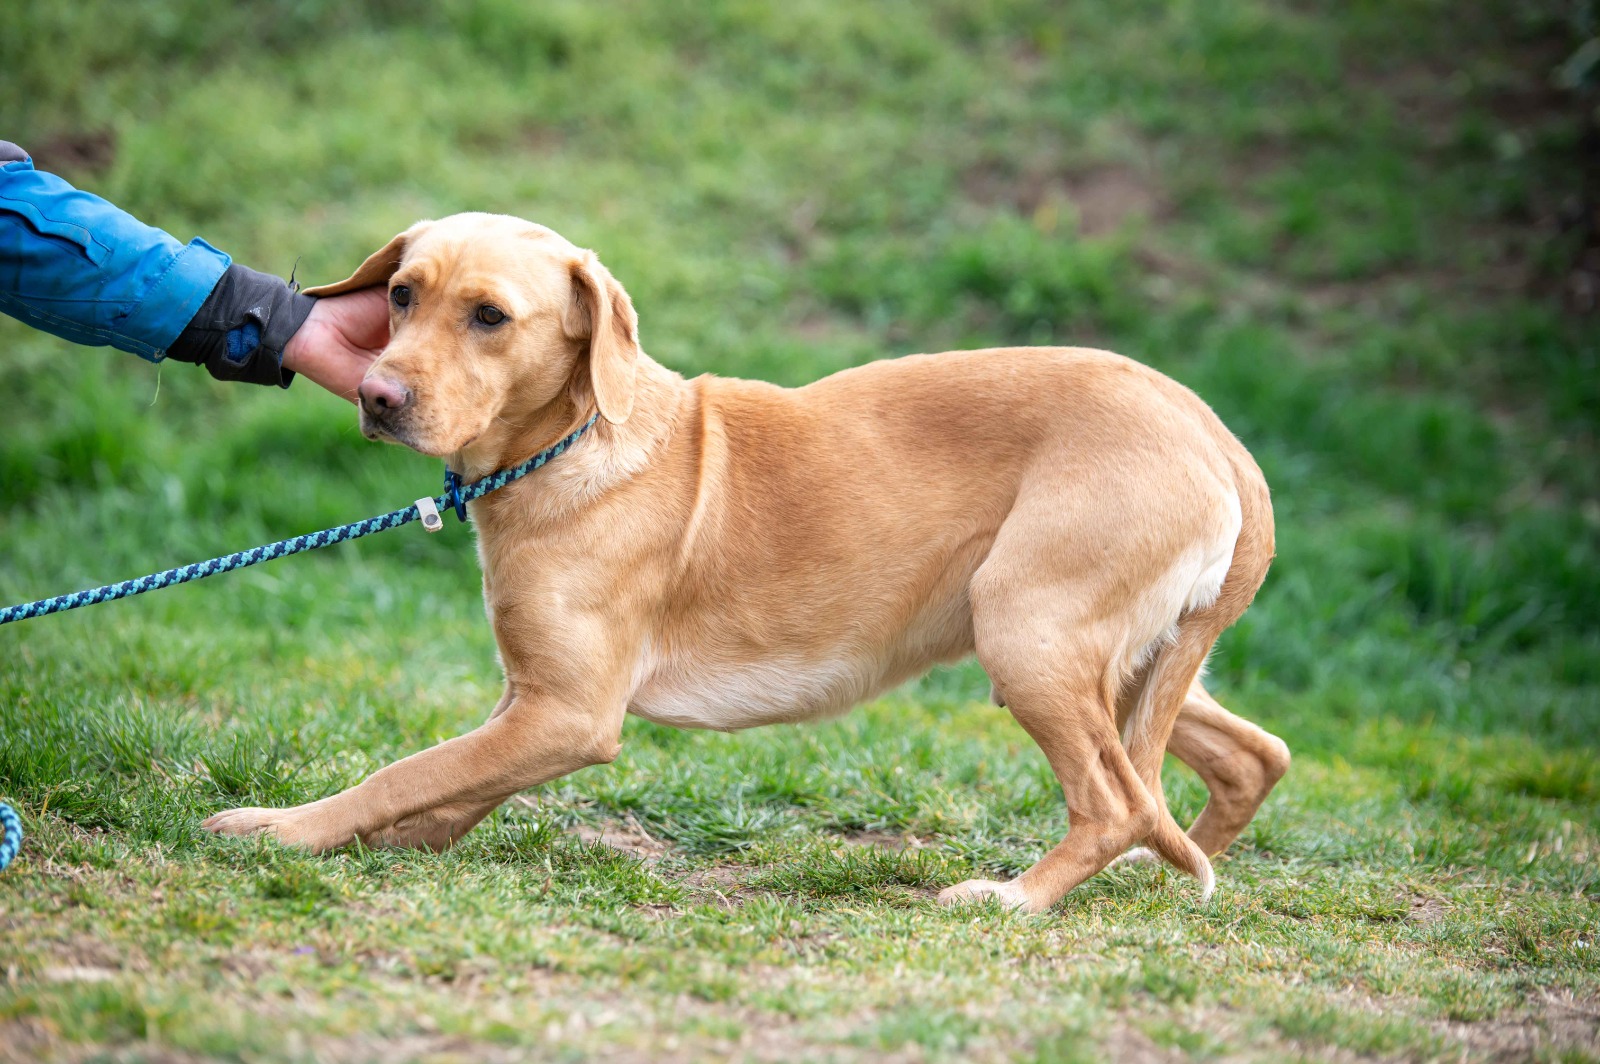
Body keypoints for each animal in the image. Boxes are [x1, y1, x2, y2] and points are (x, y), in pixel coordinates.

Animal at [204, 213, 1290, 912]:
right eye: (400, 294)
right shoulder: (533, 701)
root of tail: (1215, 433)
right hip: (1112, 658)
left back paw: (1015, 898)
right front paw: (392, 841)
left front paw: (287, 830)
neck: (570, 443)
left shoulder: (569, 713)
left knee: (1119, 801)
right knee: (1240, 762)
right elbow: (448, 781)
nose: (377, 396)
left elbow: (405, 769)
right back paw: (1159, 878)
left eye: (489, 317)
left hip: (1027, 634)